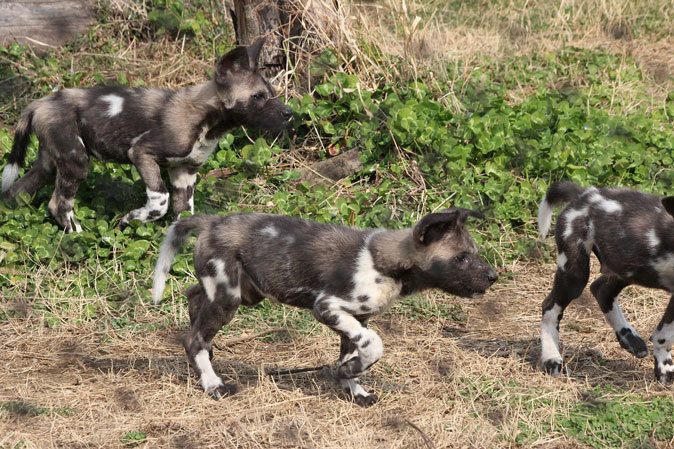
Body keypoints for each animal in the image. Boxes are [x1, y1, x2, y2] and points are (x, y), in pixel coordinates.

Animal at [0, 38, 288, 233]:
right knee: (58, 204)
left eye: (273, 92)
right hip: (76, 161)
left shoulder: (184, 172)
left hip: (50, 164)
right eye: (258, 97)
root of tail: (39, 102)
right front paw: (129, 220)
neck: (208, 122)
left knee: (16, 192)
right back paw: (77, 237)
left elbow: (185, 214)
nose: (289, 113)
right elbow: (160, 202)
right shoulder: (142, 152)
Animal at [155, 208, 496, 404]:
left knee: (194, 298)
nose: (494, 276)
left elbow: (355, 354)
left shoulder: (357, 320)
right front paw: (348, 374)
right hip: (229, 299)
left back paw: (207, 359)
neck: (387, 264)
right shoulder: (328, 308)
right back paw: (212, 384)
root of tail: (212, 221)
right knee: (193, 338)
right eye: (461, 258)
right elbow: (375, 346)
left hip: (243, 295)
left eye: (474, 253)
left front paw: (353, 387)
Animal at [540, 180, 674, 384]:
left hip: (626, 267)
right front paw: (664, 368)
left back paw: (629, 338)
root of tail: (584, 194)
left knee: (601, 290)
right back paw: (551, 359)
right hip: (575, 275)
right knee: (550, 307)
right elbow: (663, 336)